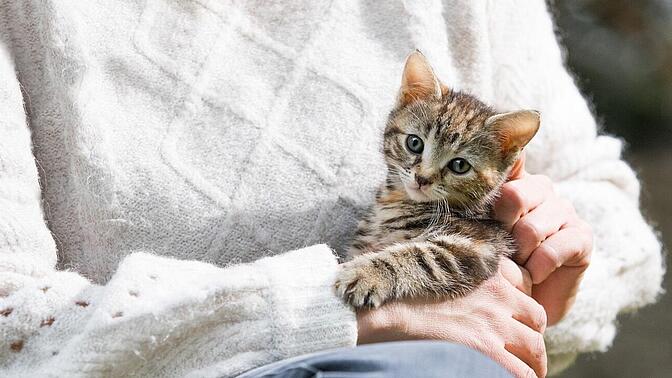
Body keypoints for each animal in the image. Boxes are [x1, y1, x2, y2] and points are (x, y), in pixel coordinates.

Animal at [336, 51, 540, 308]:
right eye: (414, 143)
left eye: (460, 166)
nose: (422, 178)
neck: (395, 201)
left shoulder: (479, 245)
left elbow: (421, 256)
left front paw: (366, 274)